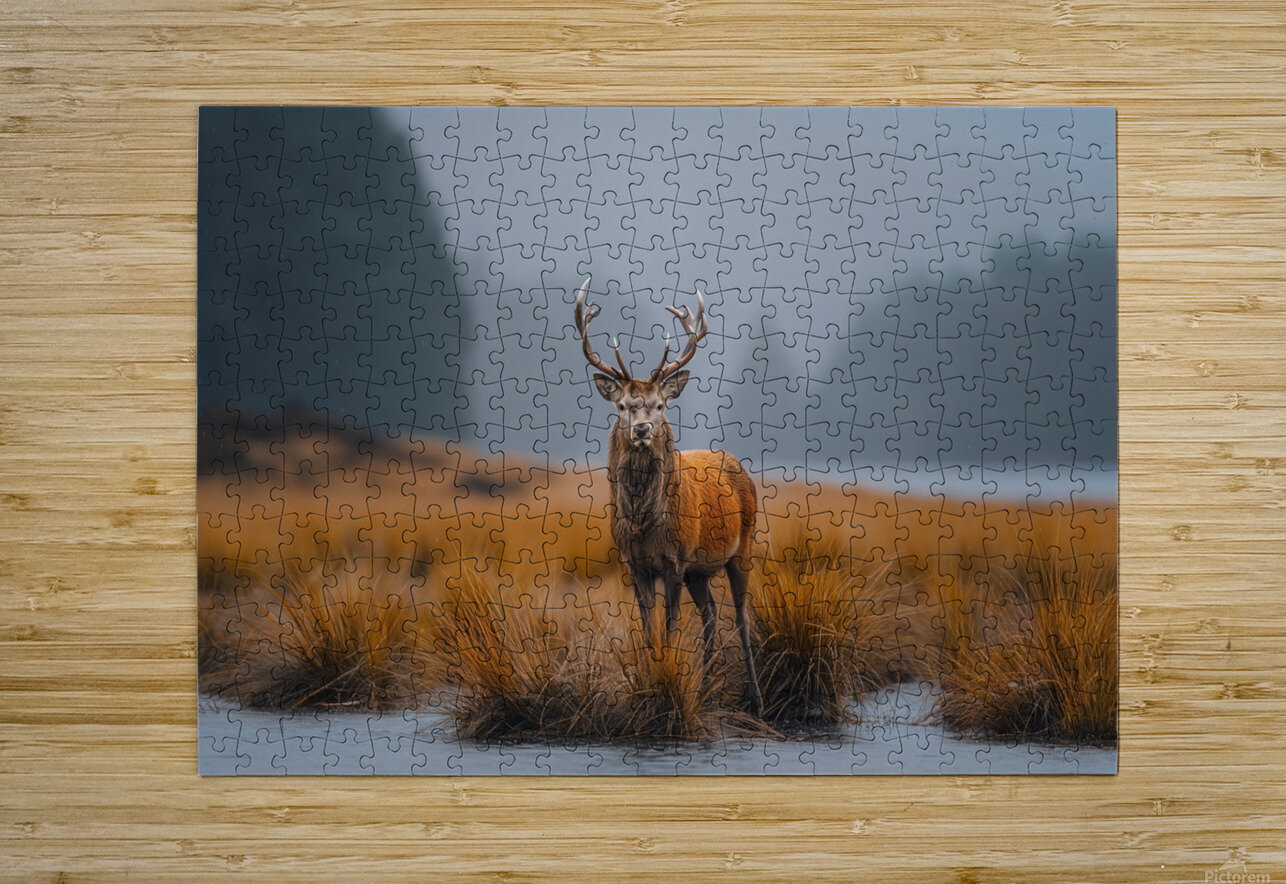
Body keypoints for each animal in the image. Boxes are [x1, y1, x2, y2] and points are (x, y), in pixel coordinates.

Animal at [573, 277, 763, 716]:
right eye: (623, 406)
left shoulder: (676, 559)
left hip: (742, 546)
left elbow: (672, 626)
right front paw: (648, 684)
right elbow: (648, 629)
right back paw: (706, 688)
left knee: (742, 618)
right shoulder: (635, 563)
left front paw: (667, 681)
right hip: (700, 570)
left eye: (660, 405)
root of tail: (739, 465)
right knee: (711, 616)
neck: (646, 525)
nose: (642, 429)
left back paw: (755, 698)